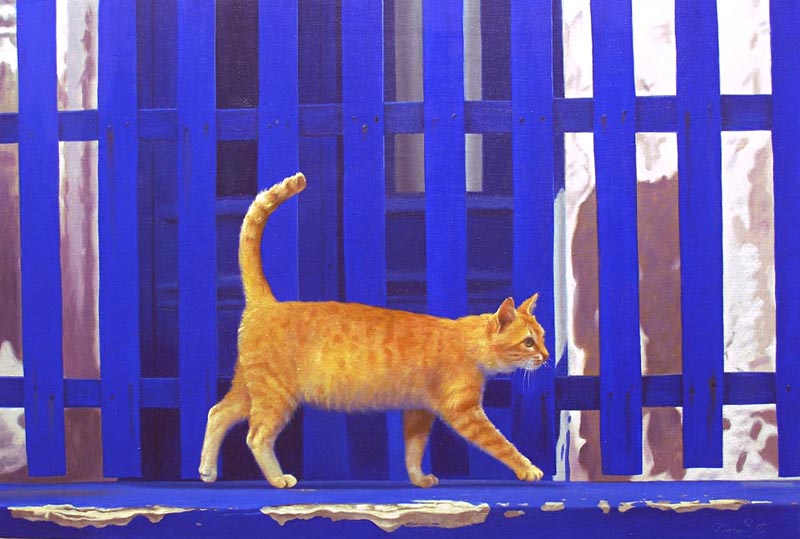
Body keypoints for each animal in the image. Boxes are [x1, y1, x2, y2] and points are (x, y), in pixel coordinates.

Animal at [199, 172, 549, 488]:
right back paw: (276, 478)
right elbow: (502, 444)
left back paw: (207, 470)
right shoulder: (465, 413)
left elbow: (413, 451)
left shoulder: (418, 412)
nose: (546, 357)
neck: (468, 341)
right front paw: (528, 468)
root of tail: (267, 303)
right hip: (273, 395)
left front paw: (418, 479)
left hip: (250, 387)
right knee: (256, 436)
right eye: (529, 342)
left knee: (218, 412)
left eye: (543, 338)